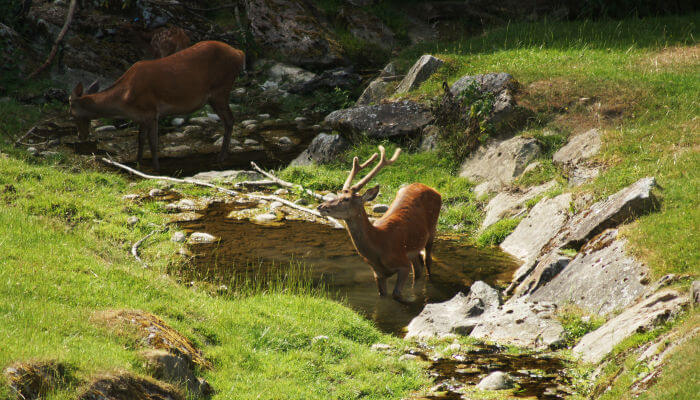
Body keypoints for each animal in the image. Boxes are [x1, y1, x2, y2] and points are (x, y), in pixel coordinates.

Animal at [68, 40, 243, 170]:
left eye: (72, 114)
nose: (80, 136)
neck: (124, 99)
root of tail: (239, 53)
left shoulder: (151, 111)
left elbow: (153, 141)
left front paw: (156, 167)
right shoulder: (141, 116)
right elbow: (140, 138)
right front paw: (137, 162)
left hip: (221, 90)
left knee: (230, 120)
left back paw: (221, 157)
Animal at [318, 145, 440, 302]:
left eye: (346, 199)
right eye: (338, 194)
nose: (321, 206)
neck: (380, 244)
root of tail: (432, 189)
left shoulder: (402, 263)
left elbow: (396, 294)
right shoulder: (378, 274)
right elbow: (382, 296)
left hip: (432, 228)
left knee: (427, 260)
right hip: (414, 247)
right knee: (418, 268)